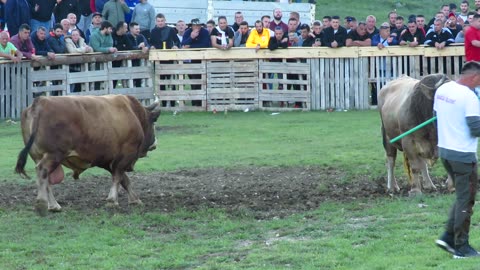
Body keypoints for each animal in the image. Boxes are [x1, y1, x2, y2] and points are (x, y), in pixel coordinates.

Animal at [14, 95, 161, 215]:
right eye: (153, 122)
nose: (155, 143)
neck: (133, 112)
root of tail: (41, 101)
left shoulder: (107, 160)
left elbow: (124, 179)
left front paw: (135, 200)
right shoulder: (125, 155)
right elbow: (118, 177)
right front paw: (112, 200)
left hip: (38, 156)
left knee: (45, 179)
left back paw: (54, 205)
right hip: (54, 154)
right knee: (42, 171)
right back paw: (42, 204)